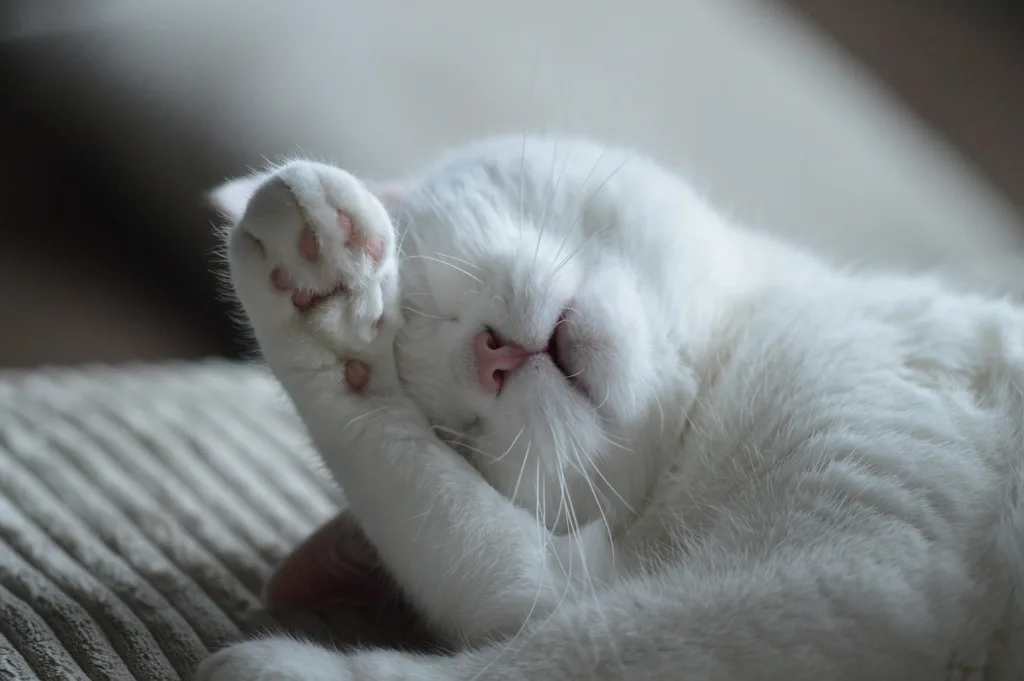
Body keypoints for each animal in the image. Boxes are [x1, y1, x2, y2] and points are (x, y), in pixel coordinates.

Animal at [195, 135, 1019, 675]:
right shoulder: (858, 571)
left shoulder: (862, 571)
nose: (488, 357)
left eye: (434, 295)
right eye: (459, 433)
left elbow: (575, 649)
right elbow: (531, 602)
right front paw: (321, 316)